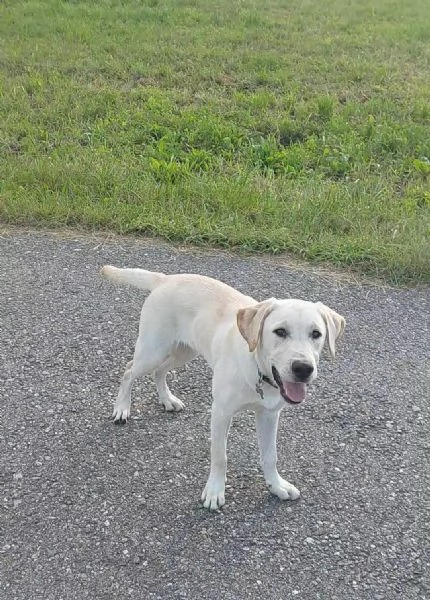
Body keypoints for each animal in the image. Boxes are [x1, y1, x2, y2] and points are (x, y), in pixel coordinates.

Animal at [101, 268, 346, 510]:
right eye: (280, 331)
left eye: (316, 334)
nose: (303, 368)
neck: (258, 369)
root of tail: (166, 278)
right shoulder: (220, 412)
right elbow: (220, 456)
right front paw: (214, 491)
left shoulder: (269, 414)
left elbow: (270, 456)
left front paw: (276, 486)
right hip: (153, 351)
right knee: (129, 370)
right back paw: (122, 408)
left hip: (185, 351)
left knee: (159, 372)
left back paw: (167, 399)